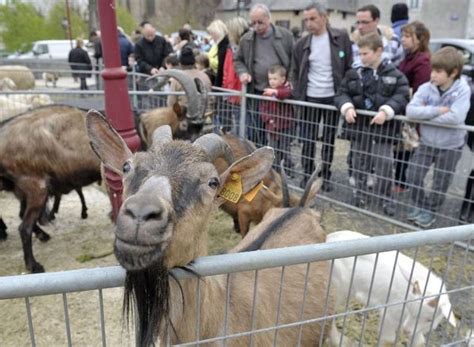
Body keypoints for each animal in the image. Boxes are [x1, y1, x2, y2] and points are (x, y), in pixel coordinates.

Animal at [328, 230, 458, 346]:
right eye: (410, 308)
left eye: (429, 319)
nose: (406, 330)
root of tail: (329, 237)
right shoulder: (390, 314)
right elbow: (388, 340)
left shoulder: (417, 328)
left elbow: (419, 341)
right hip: (340, 285)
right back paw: (340, 341)